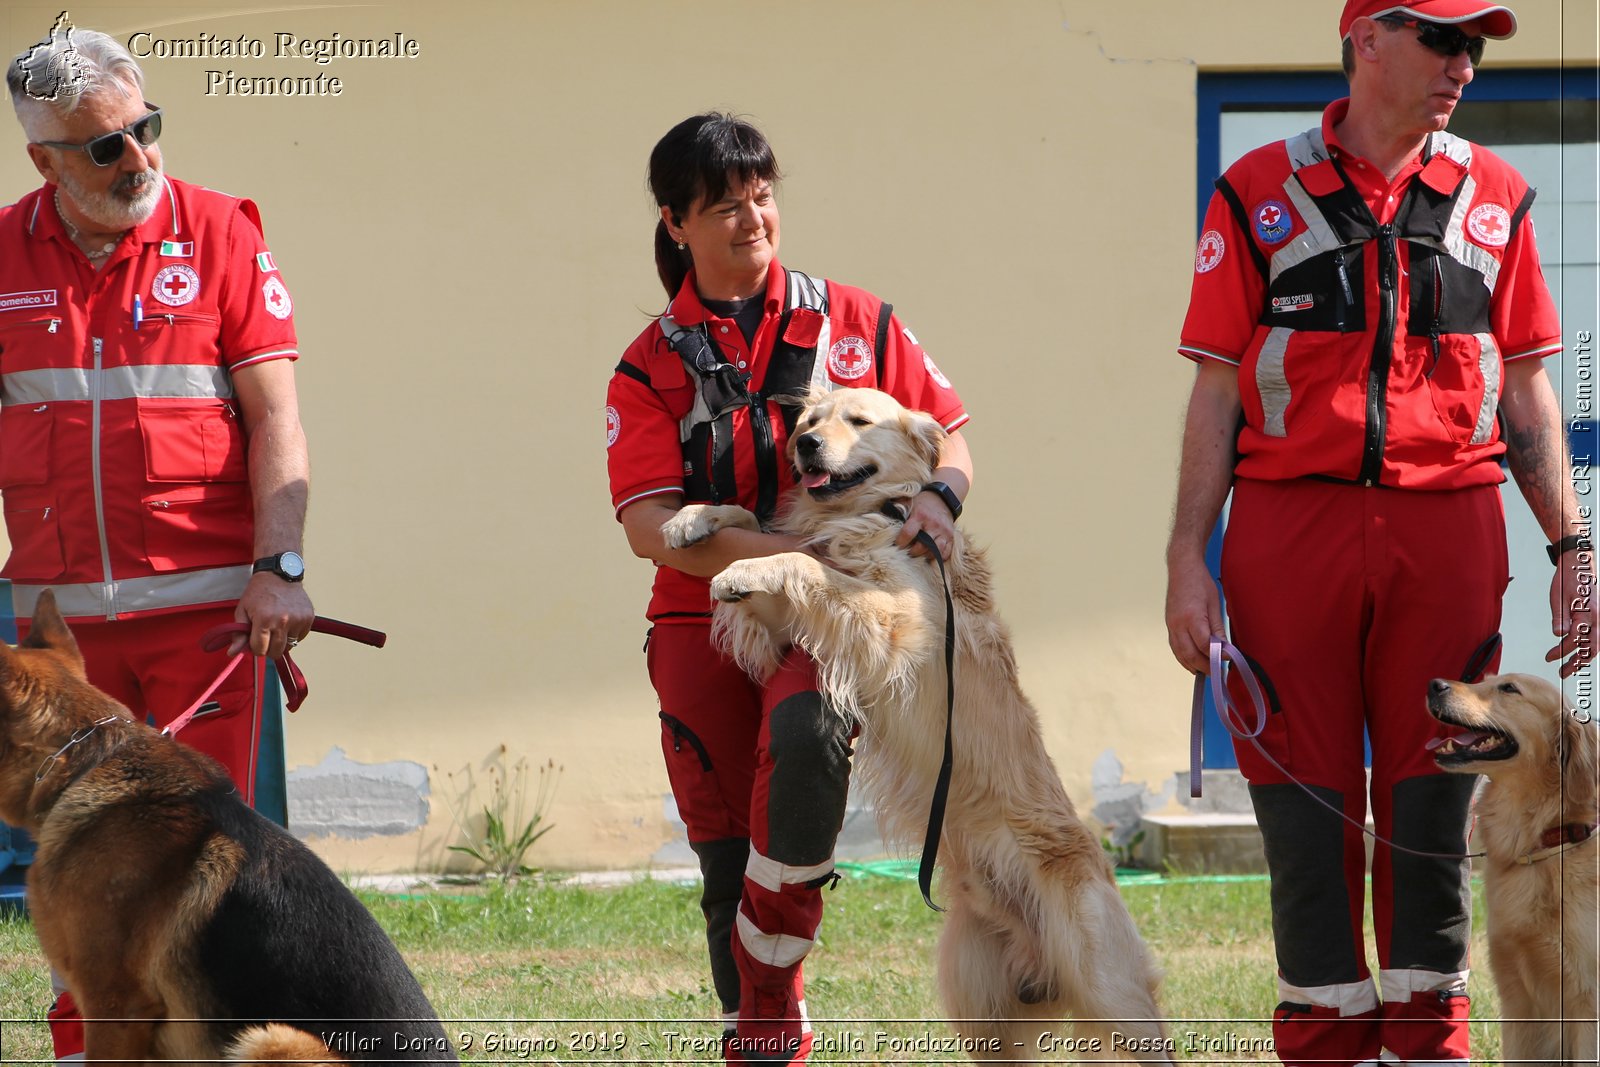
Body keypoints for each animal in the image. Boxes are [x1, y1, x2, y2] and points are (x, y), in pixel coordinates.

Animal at [662, 388, 1177, 1062]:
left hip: (1107, 986)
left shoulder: (900, 623)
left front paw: (744, 568)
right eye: (808, 422)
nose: (806, 445)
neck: (878, 506)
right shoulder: (790, 627)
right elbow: (767, 530)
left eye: (857, 421)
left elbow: (804, 563)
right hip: (979, 1002)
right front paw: (694, 518)